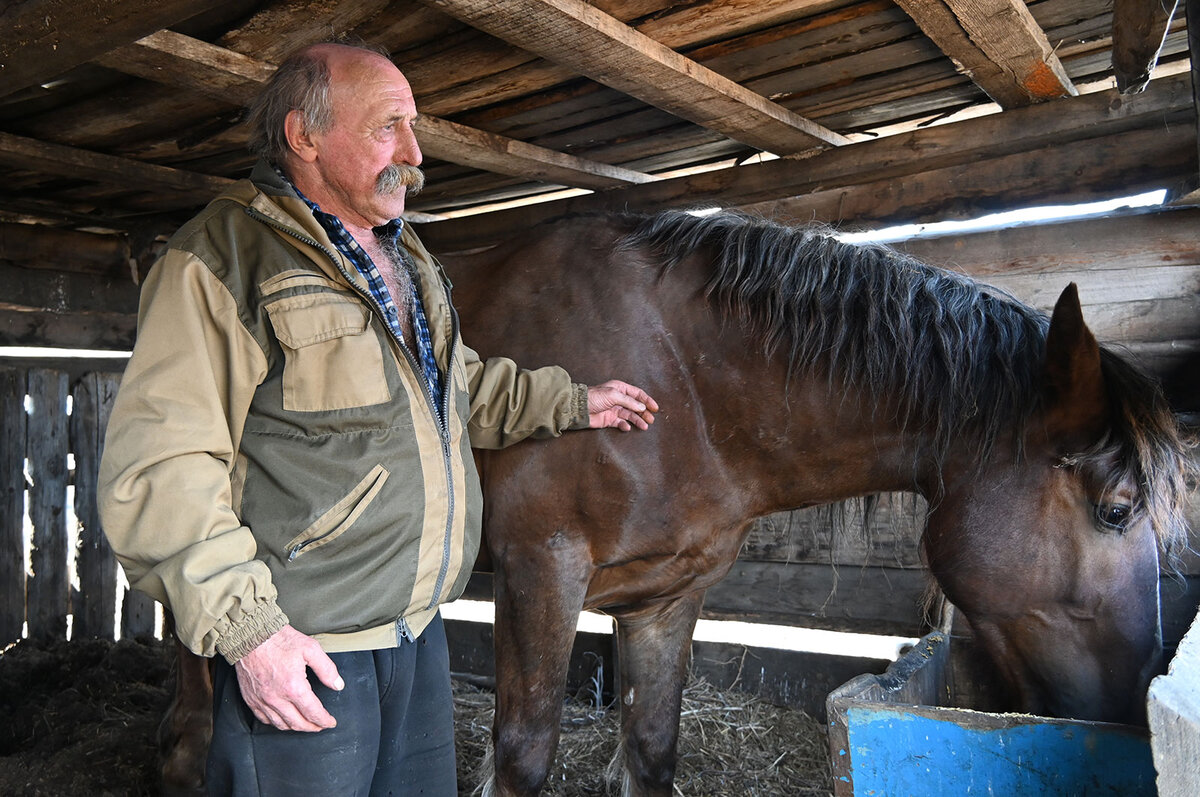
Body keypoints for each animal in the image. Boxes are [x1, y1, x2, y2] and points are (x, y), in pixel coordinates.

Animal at [162, 211, 1190, 797]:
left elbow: (652, 746)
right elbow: (524, 753)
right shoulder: (541, 573)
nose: (1129, 705)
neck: (680, 380)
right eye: (1116, 507)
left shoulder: (670, 593)